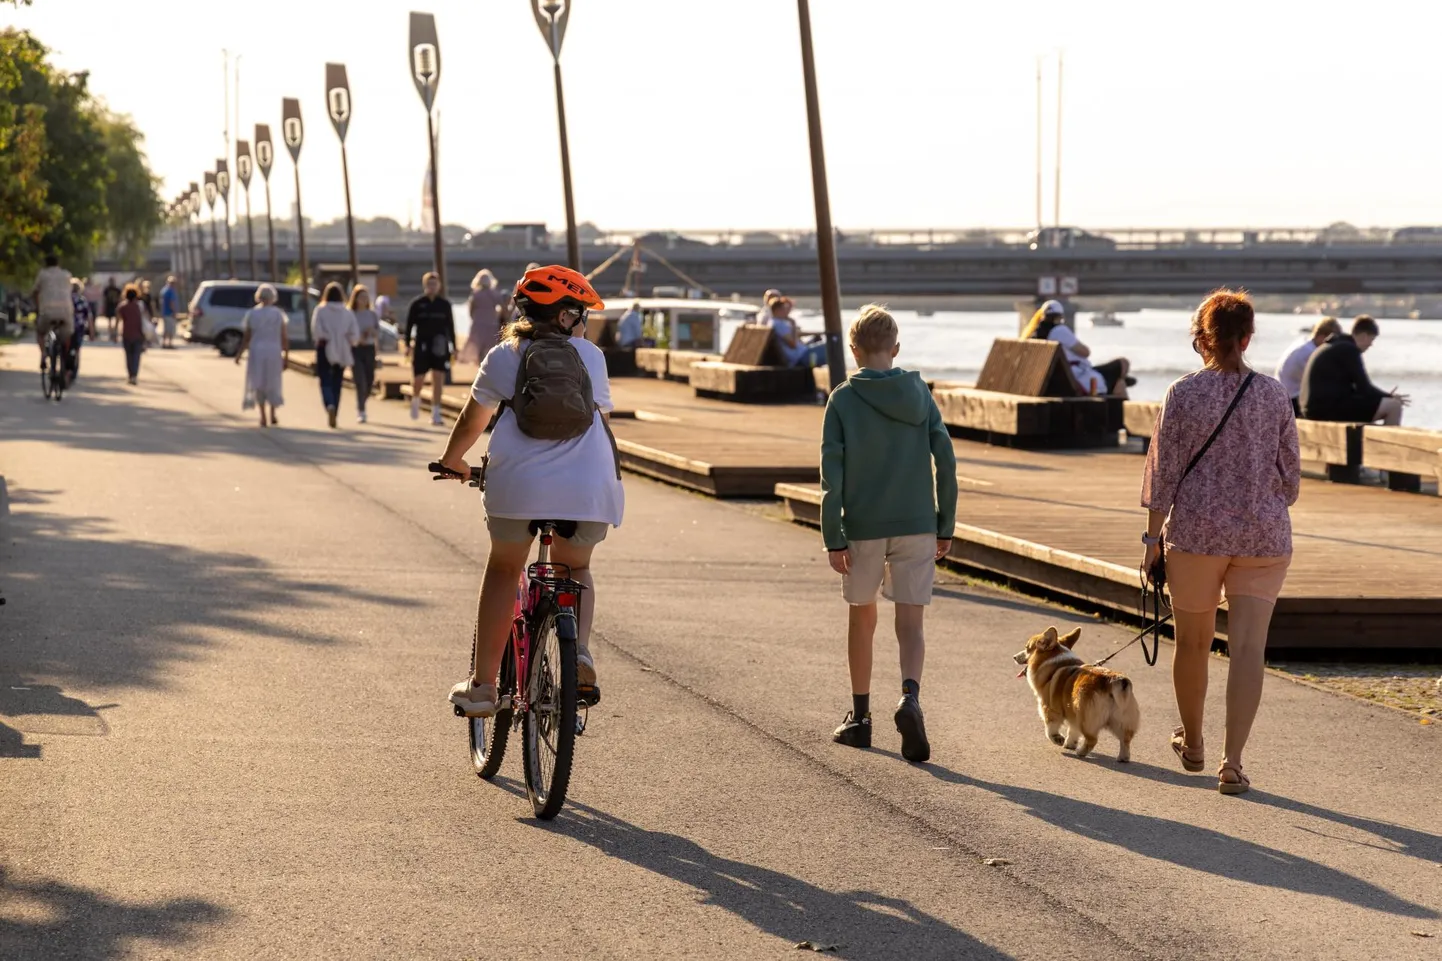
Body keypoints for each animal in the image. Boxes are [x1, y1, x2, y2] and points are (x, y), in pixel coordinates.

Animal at [1015, 626, 1136, 761]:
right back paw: (1123, 758)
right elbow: (1073, 731)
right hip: (1121, 720)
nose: (1014, 657)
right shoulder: (1073, 714)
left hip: (1086, 719)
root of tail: (1113, 681)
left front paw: (1058, 739)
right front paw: (1069, 744)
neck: (1051, 663)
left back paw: (1081, 752)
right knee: (1125, 739)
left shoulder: (1050, 709)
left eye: (1027, 648)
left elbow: (1050, 729)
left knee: (1092, 739)